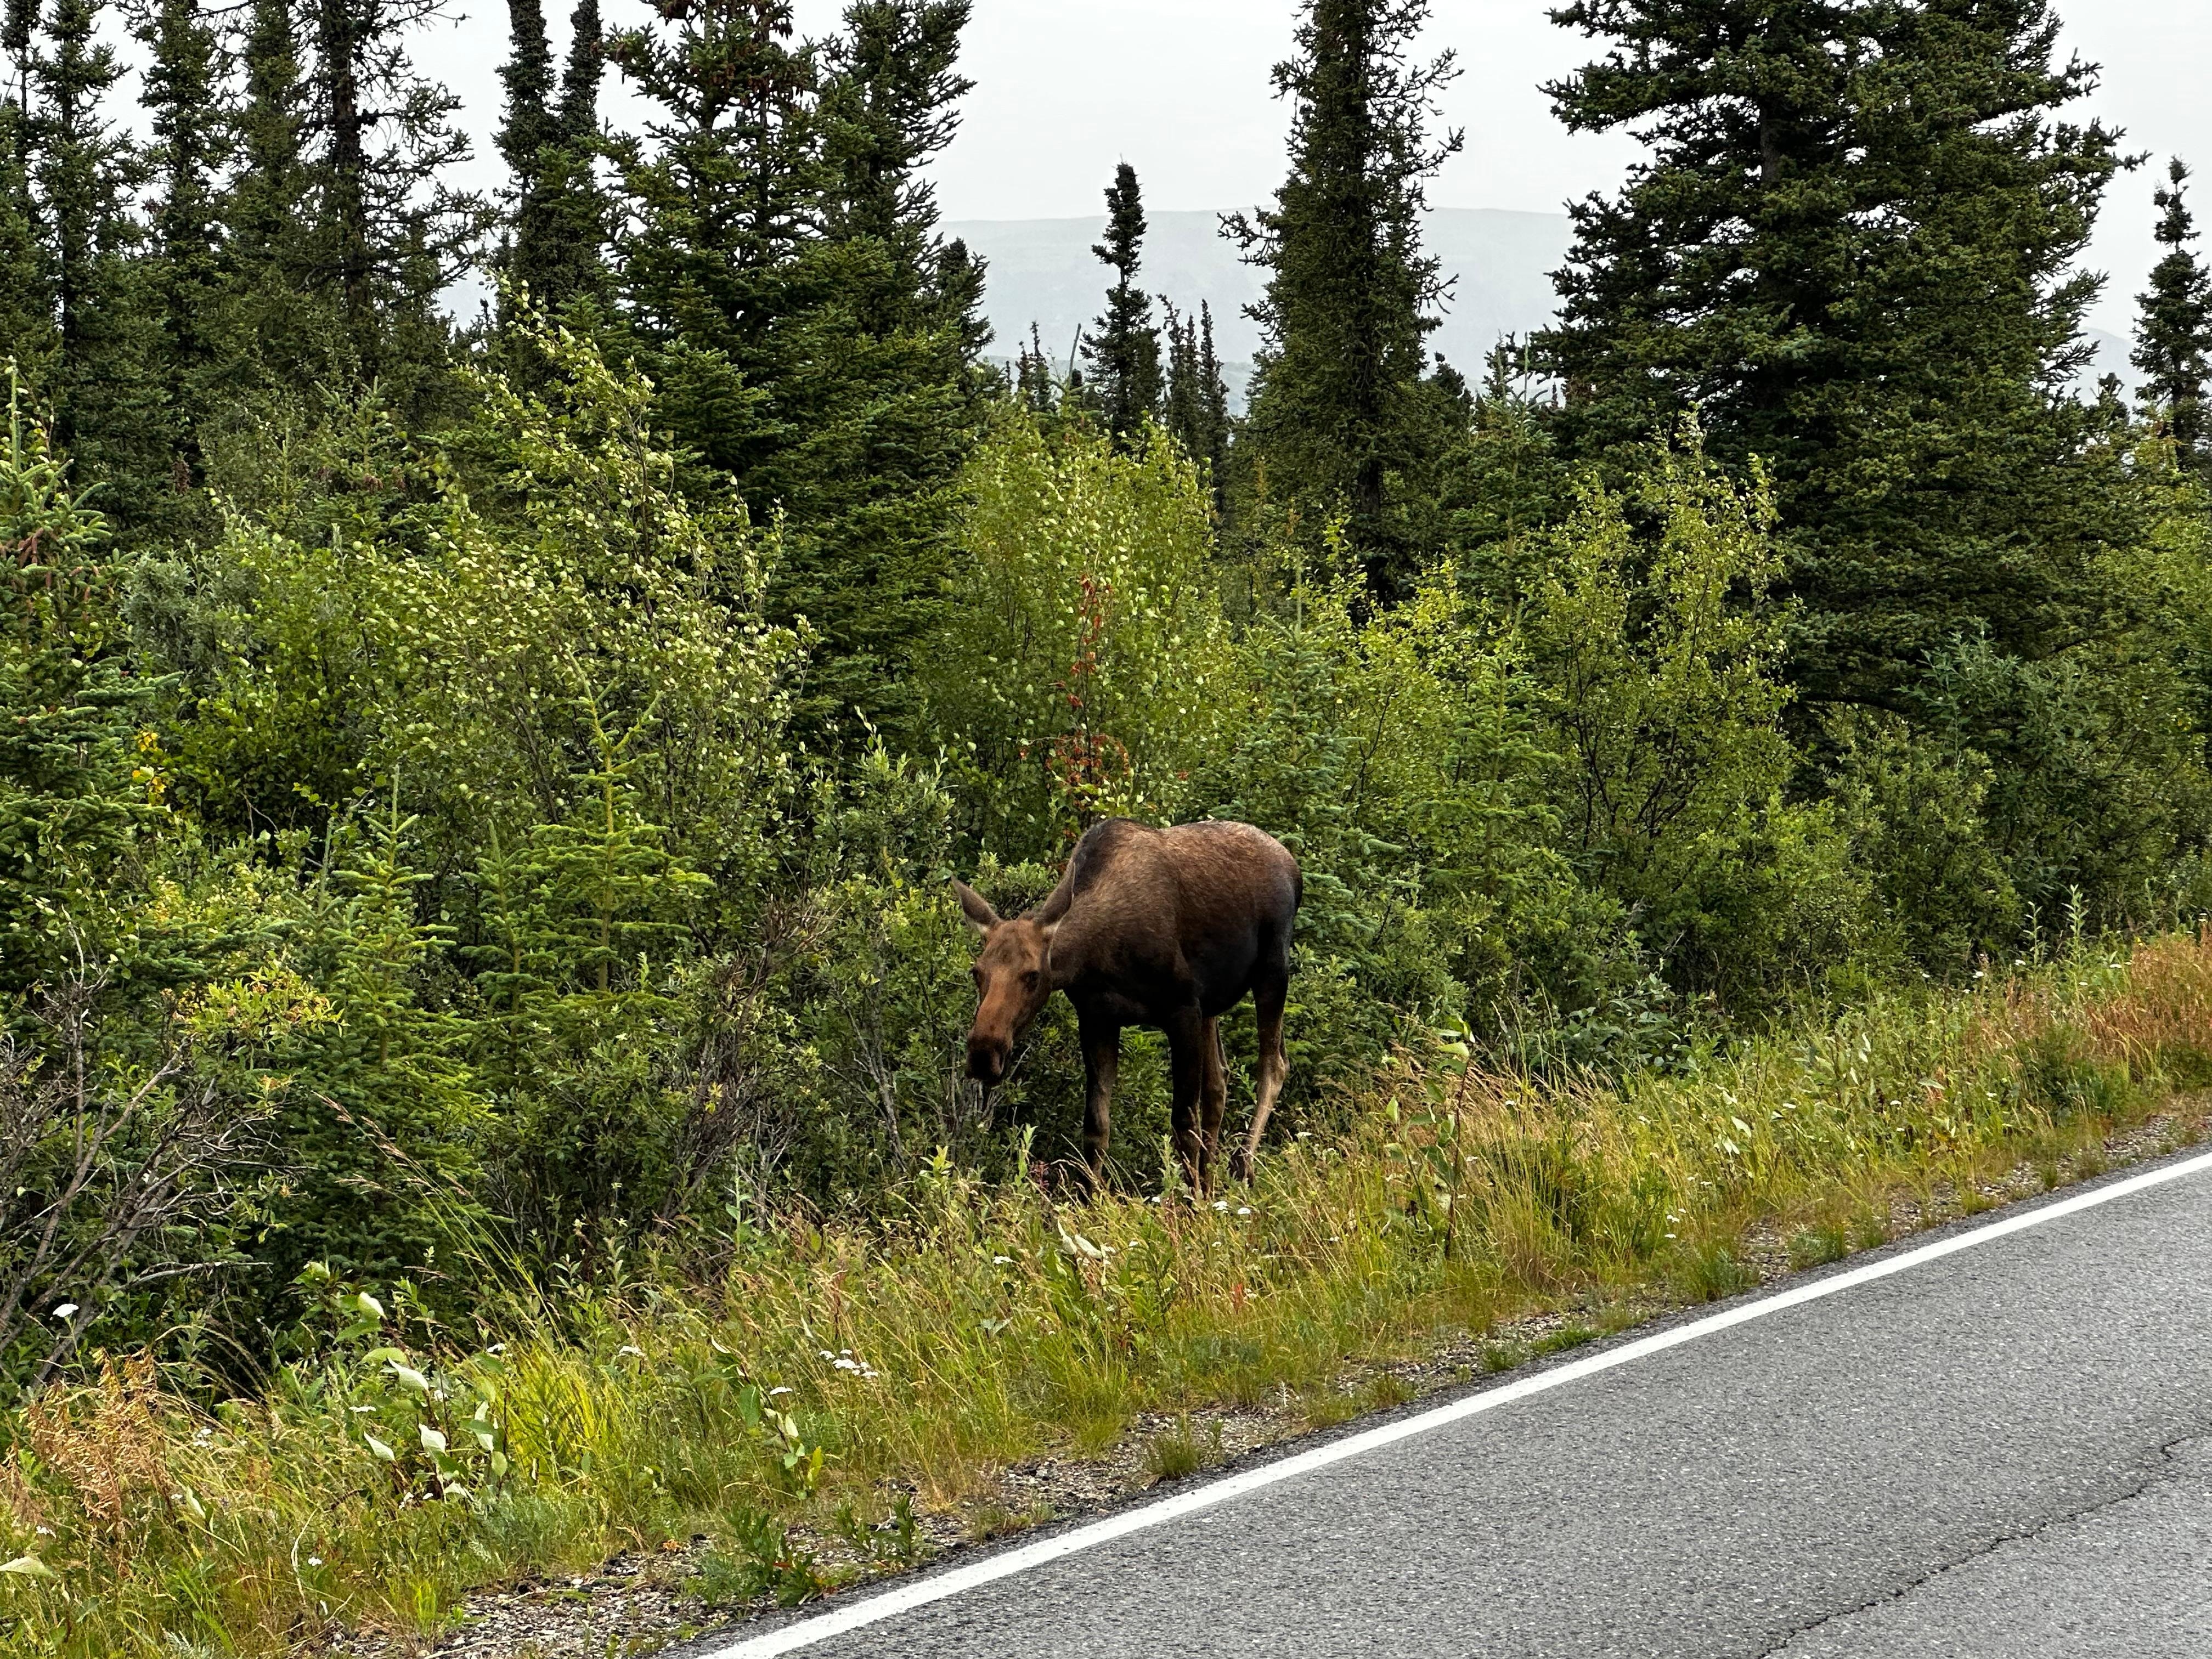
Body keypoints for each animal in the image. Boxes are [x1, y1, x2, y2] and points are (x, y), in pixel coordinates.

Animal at [955, 817, 1299, 1194]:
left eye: (1032, 975)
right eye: (976, 971)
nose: (983, 1052)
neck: (1096, 958)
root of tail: (1293, 866)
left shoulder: (1182, 1009)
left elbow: (1183, 1121)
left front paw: (1191, 1203)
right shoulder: (1097, 1019)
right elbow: (1096, 1126)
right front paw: (1095, 1199)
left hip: (1273, 971)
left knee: (1274, 1065)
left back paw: (1240, 1168)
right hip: (1212, 1004)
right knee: (1219, 1081)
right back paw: (1211, 1184)